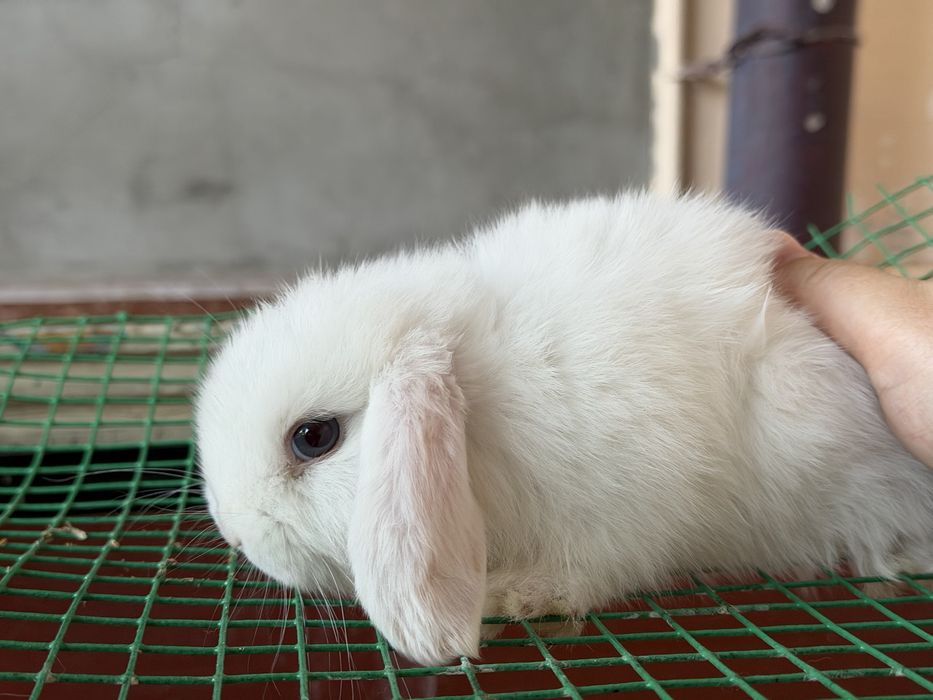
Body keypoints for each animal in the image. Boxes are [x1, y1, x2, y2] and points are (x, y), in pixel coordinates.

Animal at [195, 191, 933, 666]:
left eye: (314, 438)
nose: (233, 531)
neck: (484, 403)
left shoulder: (628, 505)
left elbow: (589, 572)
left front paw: (516, 594)